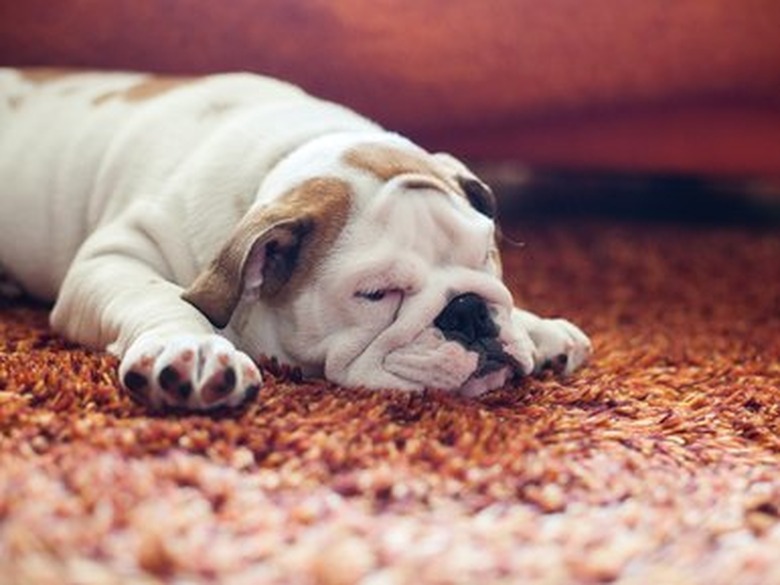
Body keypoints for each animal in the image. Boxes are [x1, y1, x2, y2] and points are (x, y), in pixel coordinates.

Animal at [0, 67, 588, 410]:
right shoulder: (115, 256)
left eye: (485, 257)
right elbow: (160, 296)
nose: (468, 312)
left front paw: (537, 327)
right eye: (376, 294)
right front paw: (193, 348)